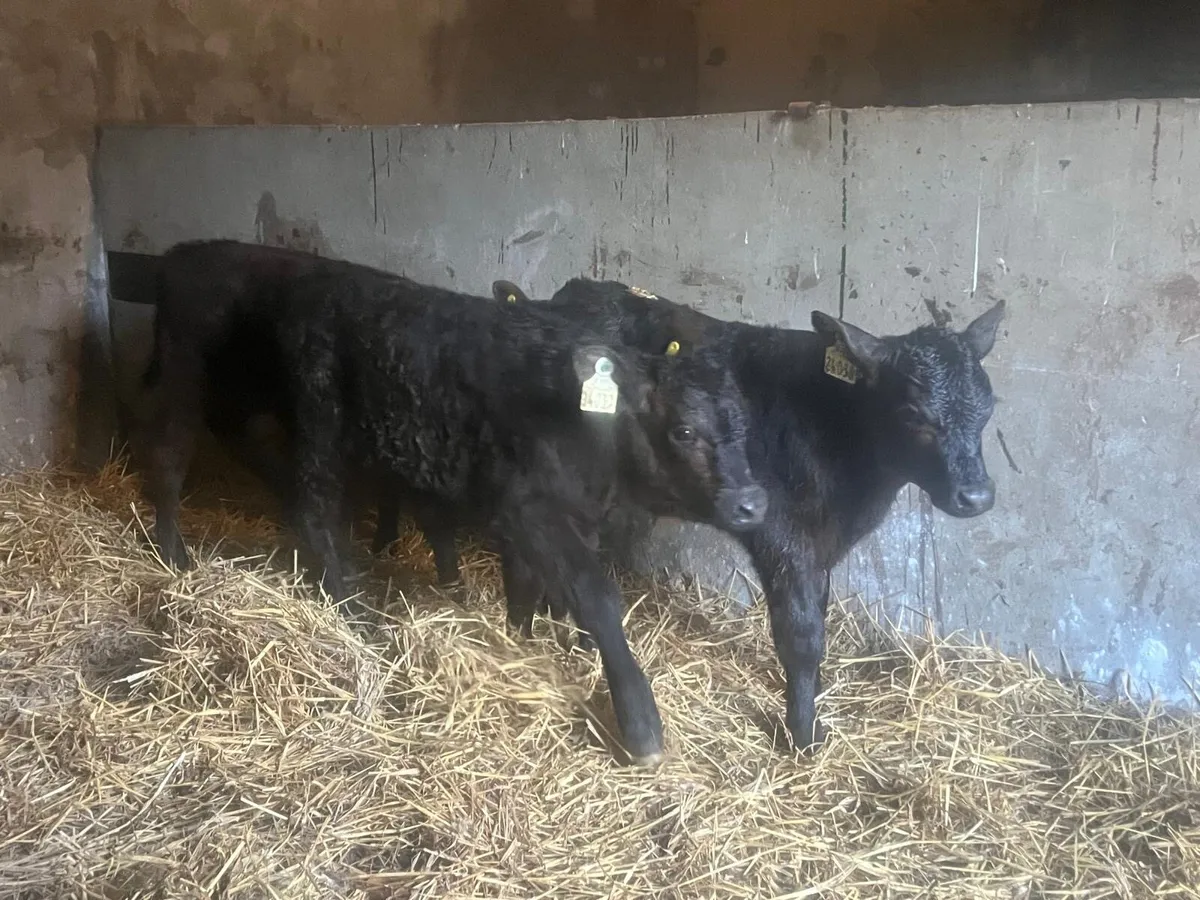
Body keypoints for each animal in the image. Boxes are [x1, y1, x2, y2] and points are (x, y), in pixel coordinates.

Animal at [494, 276, 1003, 752]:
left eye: (988, 406)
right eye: (913, 413)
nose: (976, 496)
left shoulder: (821, 547)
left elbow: (818, 615)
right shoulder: (784, 538)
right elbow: (801, 635)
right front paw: (804, 736)